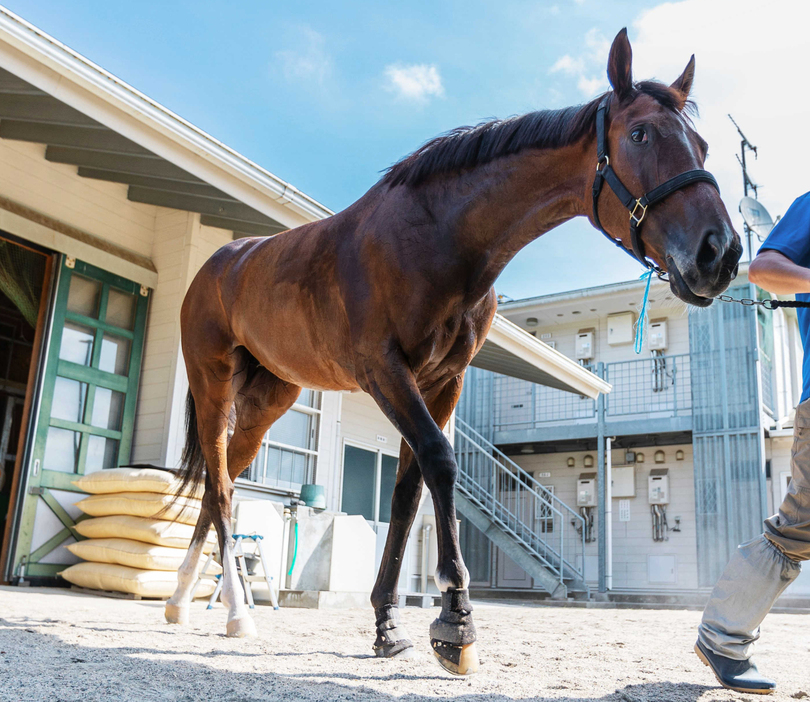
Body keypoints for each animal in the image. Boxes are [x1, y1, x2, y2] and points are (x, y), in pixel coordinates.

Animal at [164, 30, 740, 680]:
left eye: (702, 144)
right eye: (640, 134)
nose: (720, 252)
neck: (437, 236)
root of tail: (219, 262)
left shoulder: (443, 381)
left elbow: (407, 493)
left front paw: (388, 627)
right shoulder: (385, 371)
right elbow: (440, 464)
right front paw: (455, 619)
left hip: (270, 399)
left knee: (222, 482)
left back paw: (181, 600)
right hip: (212, 382)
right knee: (218, 486)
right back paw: (237, 611)